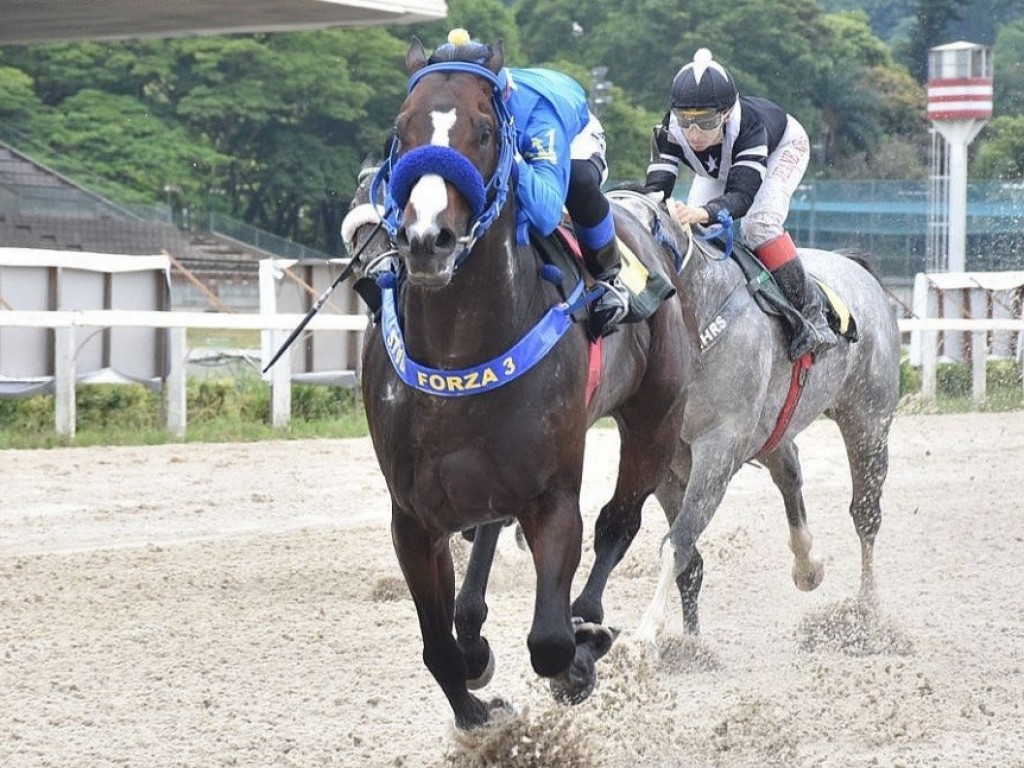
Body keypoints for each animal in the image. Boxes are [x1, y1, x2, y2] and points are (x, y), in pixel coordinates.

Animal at [354, 40, 696, 729]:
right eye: (399, 132)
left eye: (484, 131)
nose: (427, 239)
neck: (459, 351)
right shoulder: (413, 518)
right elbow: (438, 651)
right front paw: (479, 707)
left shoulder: (552, 496)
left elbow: (550, 640)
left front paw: (580, 658)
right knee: (487, 533)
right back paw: (475, 629)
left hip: (656, 418)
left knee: (618, 523)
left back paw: (589, 617)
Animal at [569, 188, 905, 643]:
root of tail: (855, 266)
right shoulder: (666, 456)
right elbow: (688, 556)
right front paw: (688, 642)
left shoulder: (719, 447)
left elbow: (679, 540)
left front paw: (645, 634)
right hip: (773, 427)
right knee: (790, 472)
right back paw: (808, 566)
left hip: (867, 421)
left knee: (866, 514)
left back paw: (866, 612)